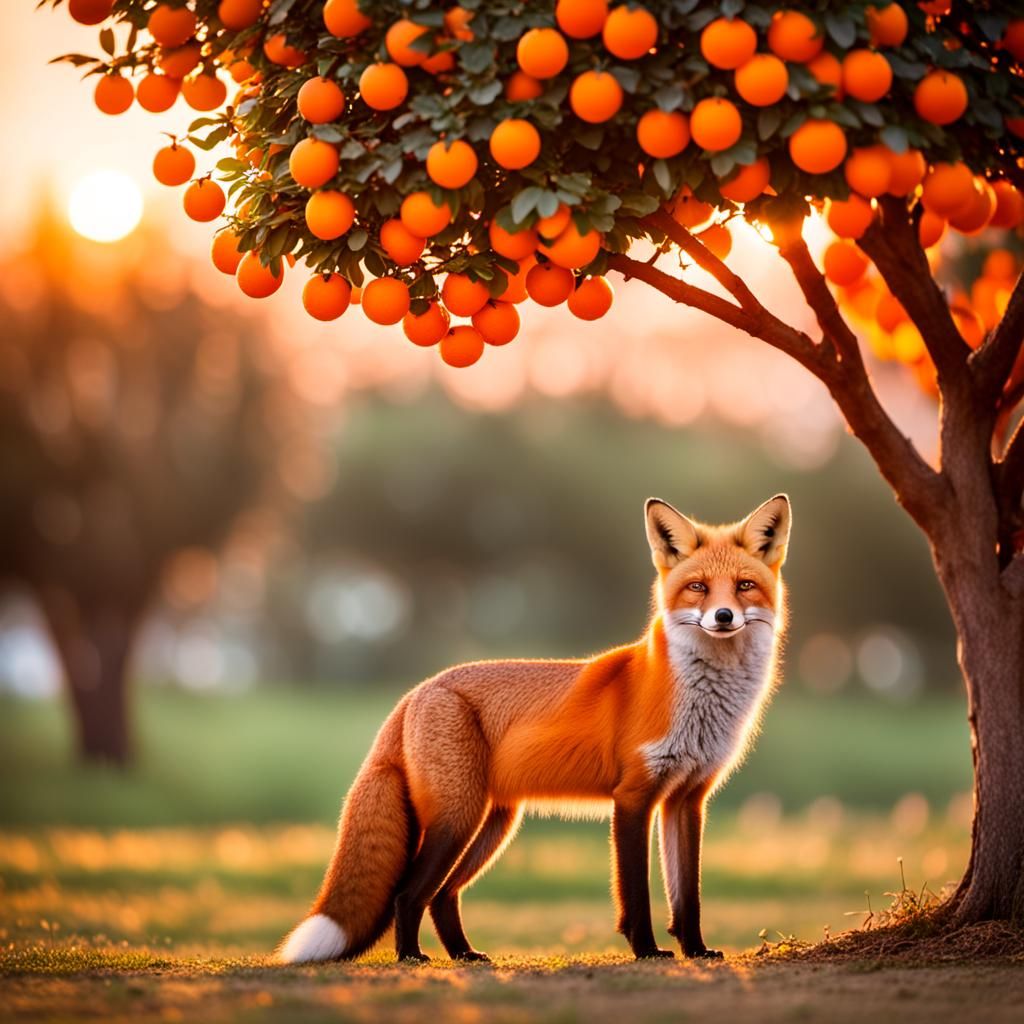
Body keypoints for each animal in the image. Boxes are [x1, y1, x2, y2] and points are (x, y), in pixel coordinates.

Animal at [277, 494, 791, 965]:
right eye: (698, 588)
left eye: (744, 586)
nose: (723, 617)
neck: (697, 701)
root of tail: (417, 691)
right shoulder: (633, 797)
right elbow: (637, 894)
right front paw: (647, 951)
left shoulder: (686, 800)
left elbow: (688, 895)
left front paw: (696, 949)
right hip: (456, 819)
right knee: (409, 893)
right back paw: (411, 957)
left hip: (494, 823)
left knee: (442, 895)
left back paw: (464, 954)